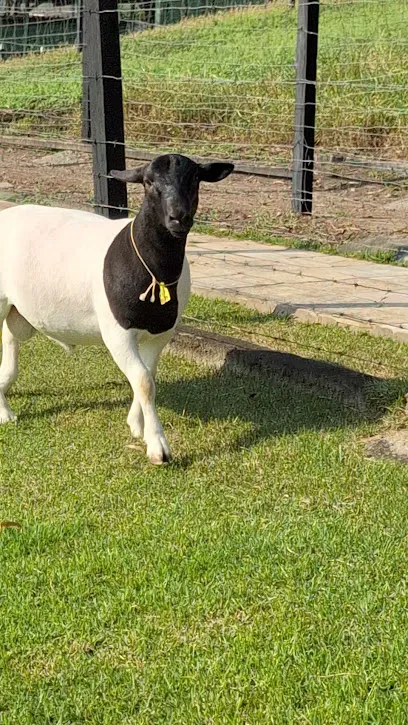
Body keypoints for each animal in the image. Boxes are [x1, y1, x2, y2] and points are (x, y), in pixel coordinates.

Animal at [0, 156, 234, 466]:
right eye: (148, 182)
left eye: (196, 178)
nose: (178, 218)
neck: (154, 270)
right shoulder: (117, 334)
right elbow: (144, 381)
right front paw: (158, 447)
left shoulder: (160, 334)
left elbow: (147, 376)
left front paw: (137, 426)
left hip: (18, 310)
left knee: (11, 340)